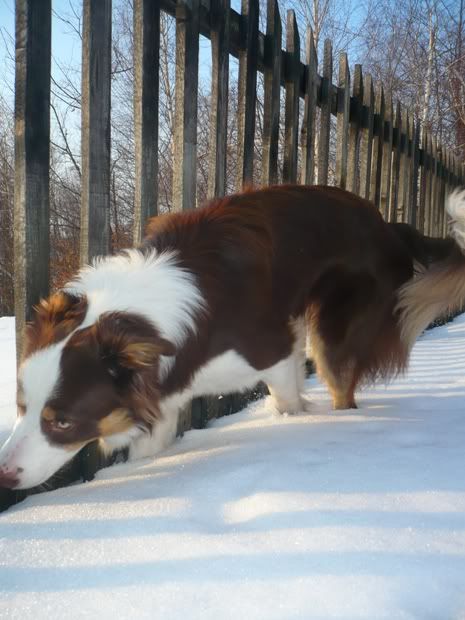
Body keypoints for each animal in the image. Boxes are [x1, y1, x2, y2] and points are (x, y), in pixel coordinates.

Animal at [1, 184, 465, 490]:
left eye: (61, 421)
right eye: (21, 406)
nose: (4, 475)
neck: (140, 316)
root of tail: (390, 226)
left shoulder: (272, 350)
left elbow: (288, 401)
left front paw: (295, 425)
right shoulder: (164, 392)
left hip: (332, 335)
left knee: (341, 388)